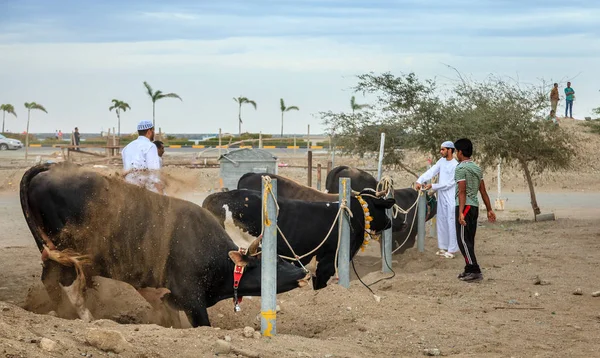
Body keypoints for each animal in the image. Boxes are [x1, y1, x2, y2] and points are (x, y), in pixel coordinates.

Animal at [19, 164, 310, 328]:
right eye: (274, 262)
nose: (304, 272)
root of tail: (48, 171)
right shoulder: (192, 300)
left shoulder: (169, 300)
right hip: (68, 253)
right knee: (69, 284)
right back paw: (87, 317)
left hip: (51, 254)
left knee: (50, 280)